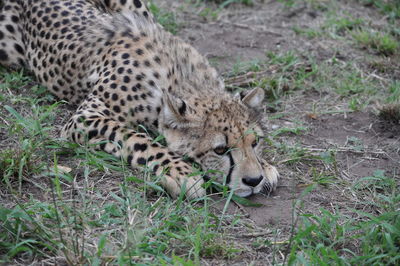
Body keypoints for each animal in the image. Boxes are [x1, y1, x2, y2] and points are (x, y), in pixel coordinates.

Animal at [0, 0, 278, 198]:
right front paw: (181, 172)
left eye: (255, 142)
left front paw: (265, 166)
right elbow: (136, 139)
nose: (253, 181)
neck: (183, 77)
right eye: (220, 150)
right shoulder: (84, 118)